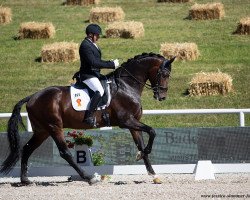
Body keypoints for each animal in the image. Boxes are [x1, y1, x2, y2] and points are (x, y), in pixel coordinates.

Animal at [0, 52, 175, 184]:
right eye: (164, 74)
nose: (162, 96)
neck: (126, 86)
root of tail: (32, 97)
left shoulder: (133, 124)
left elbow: (141, 143)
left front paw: (153, 174)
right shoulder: (127, 121)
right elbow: (152, 131)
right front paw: (143, 155)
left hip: (42, 130)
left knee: (27, 149)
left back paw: (25, 180)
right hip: (54, 127)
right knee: (65, 153)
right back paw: (89, 177)